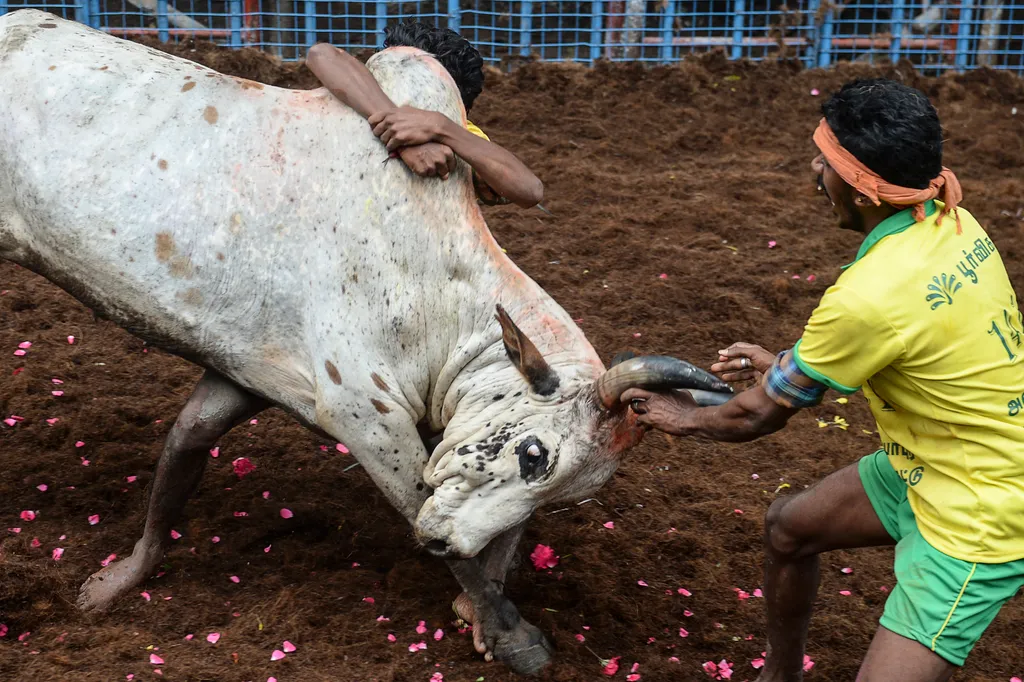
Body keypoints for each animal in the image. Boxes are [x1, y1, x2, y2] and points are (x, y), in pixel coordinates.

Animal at [0, 9, 729, 667]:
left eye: (569, 491)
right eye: (533, 454)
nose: (447, 545)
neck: (440, 292)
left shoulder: (251, 375)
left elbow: (189, 441)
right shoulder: (366, 415)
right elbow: (417, 505)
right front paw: (512, 634)